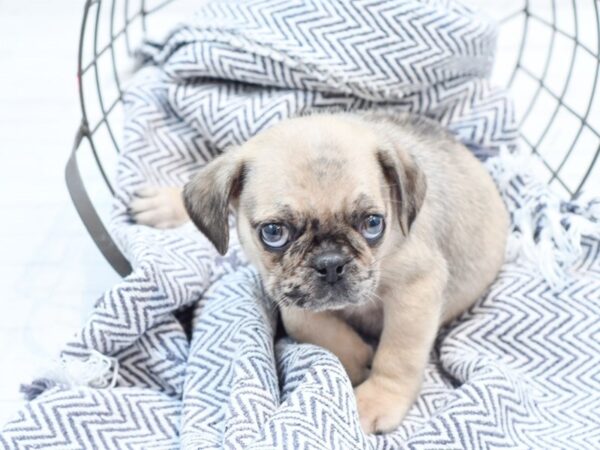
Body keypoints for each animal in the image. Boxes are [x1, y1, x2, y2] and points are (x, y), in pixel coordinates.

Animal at [131, 111, 506, 432]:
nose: (330, 262)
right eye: (273, 233)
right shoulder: (286, 290)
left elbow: (398, 354)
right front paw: (355, 357)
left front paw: (376, 399)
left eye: (373, 224)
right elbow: (303, 321)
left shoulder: (417, 287)